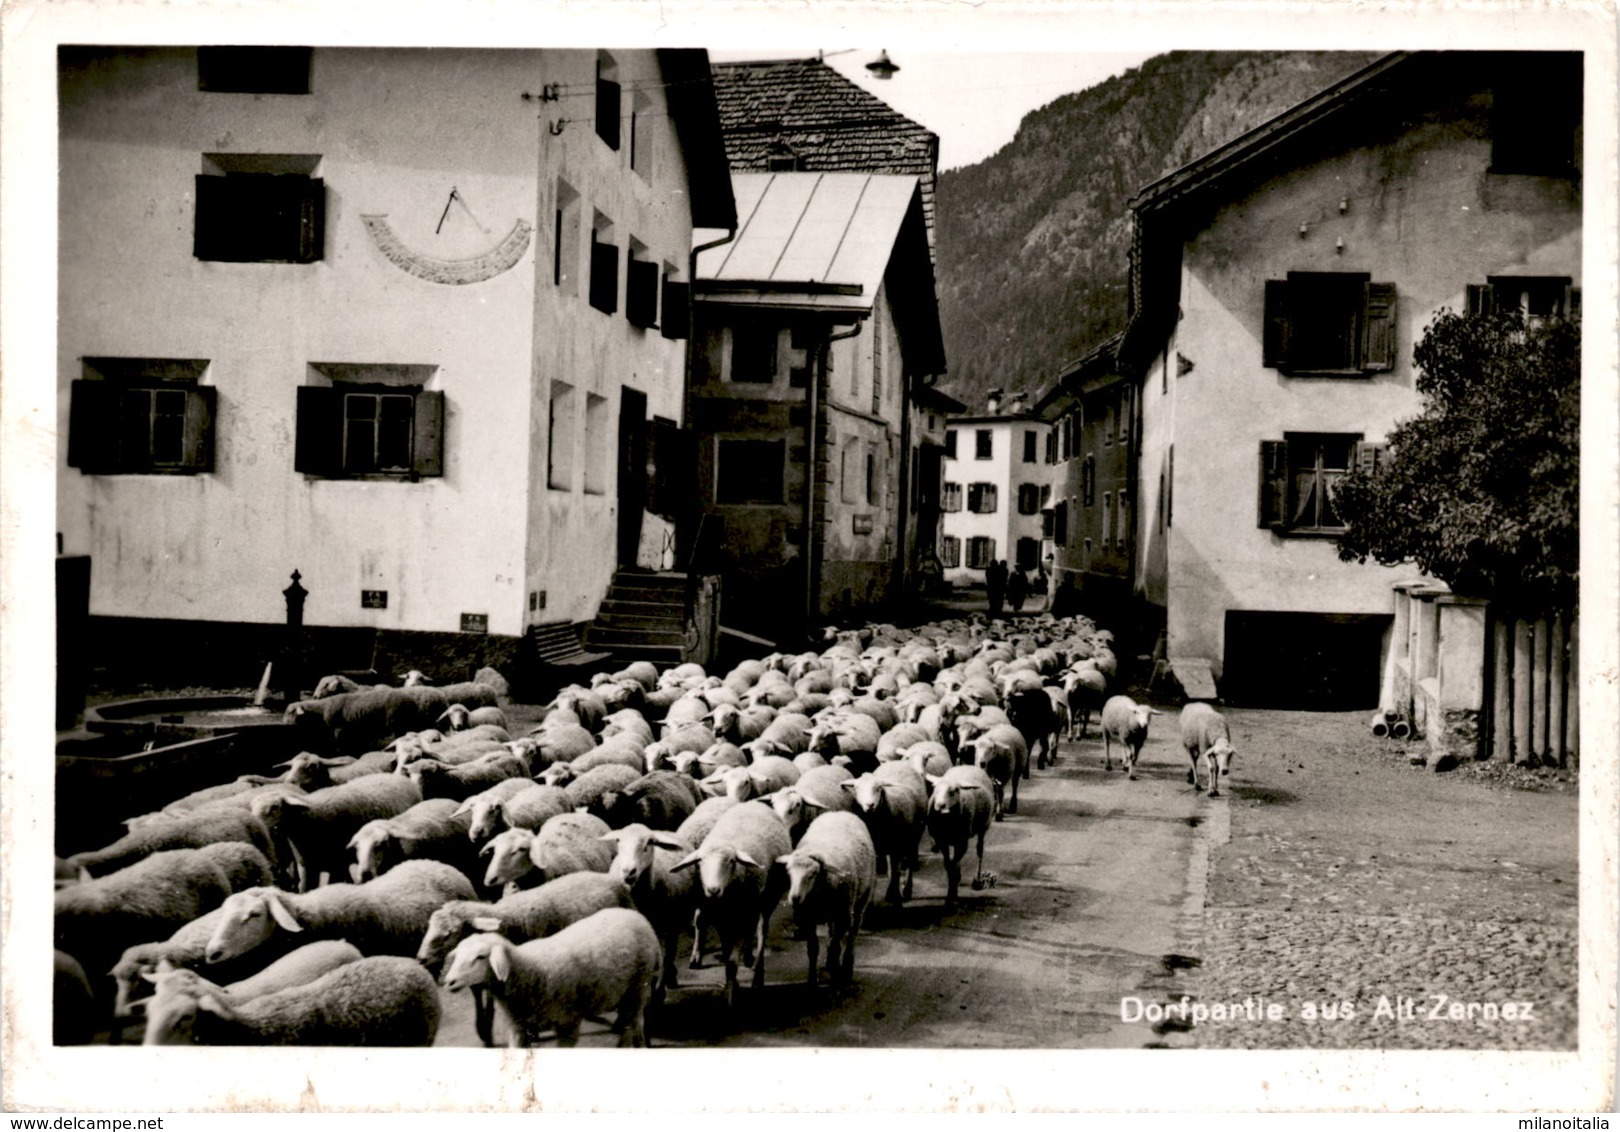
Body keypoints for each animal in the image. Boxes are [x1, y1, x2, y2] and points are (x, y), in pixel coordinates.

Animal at [440, 906, 660, 1049]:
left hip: (638, 987)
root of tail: (637, 916)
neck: (527, 970)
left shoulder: (568, 1024)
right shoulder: (519, 1029)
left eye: (480, 957)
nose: (449, 981)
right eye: (458, 955)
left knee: (633, 1024)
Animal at [774, 816, 874, 991]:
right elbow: (813, 949)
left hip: (862, 897)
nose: (794, 898)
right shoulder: (807, 918)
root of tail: (840, 813)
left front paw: (836, 976)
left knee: (853, 931)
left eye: (813, 874)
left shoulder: (843, 916)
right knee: (831, 931)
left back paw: (847, 966)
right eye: (788, 872)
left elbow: (836, 946)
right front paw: (812, 981)